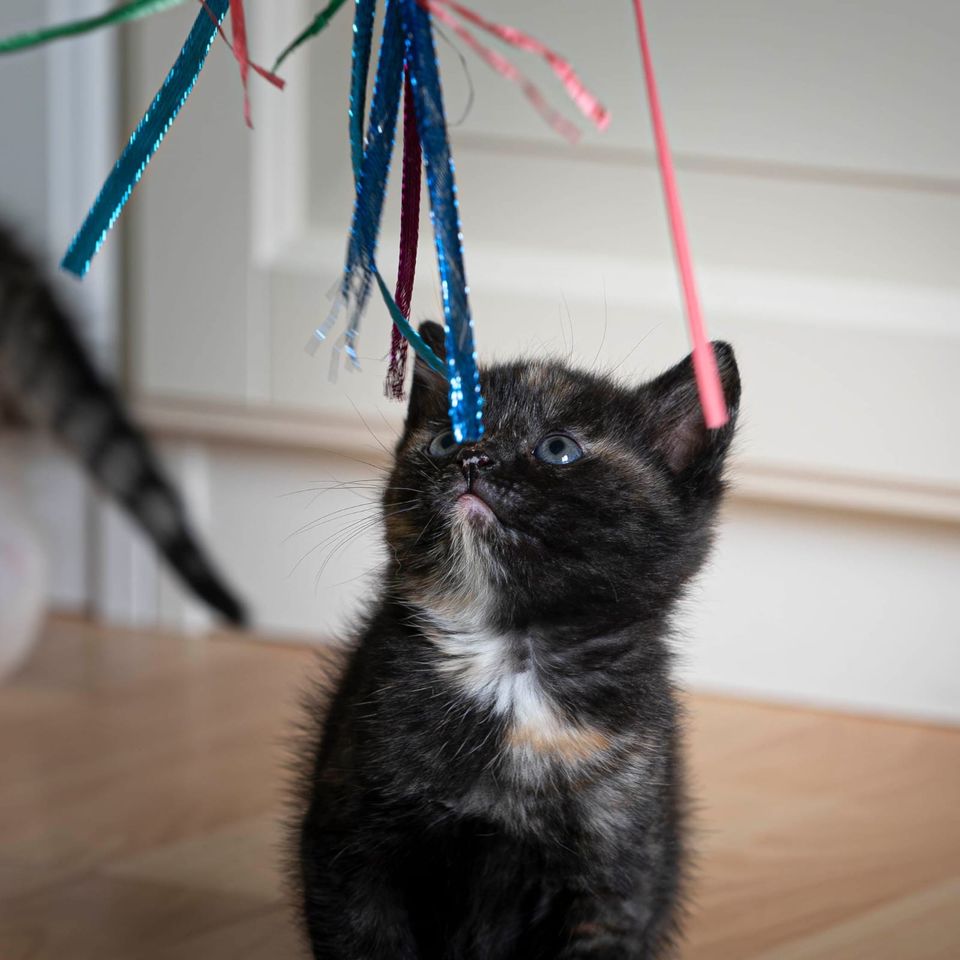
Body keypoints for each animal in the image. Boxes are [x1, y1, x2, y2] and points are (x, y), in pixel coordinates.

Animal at [296, 318, 740, 956]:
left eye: (558, 449)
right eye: (442, 441)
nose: (471, 456)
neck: (508, 663)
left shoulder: (615, 879)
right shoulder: (349, 848)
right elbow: (366, 941)